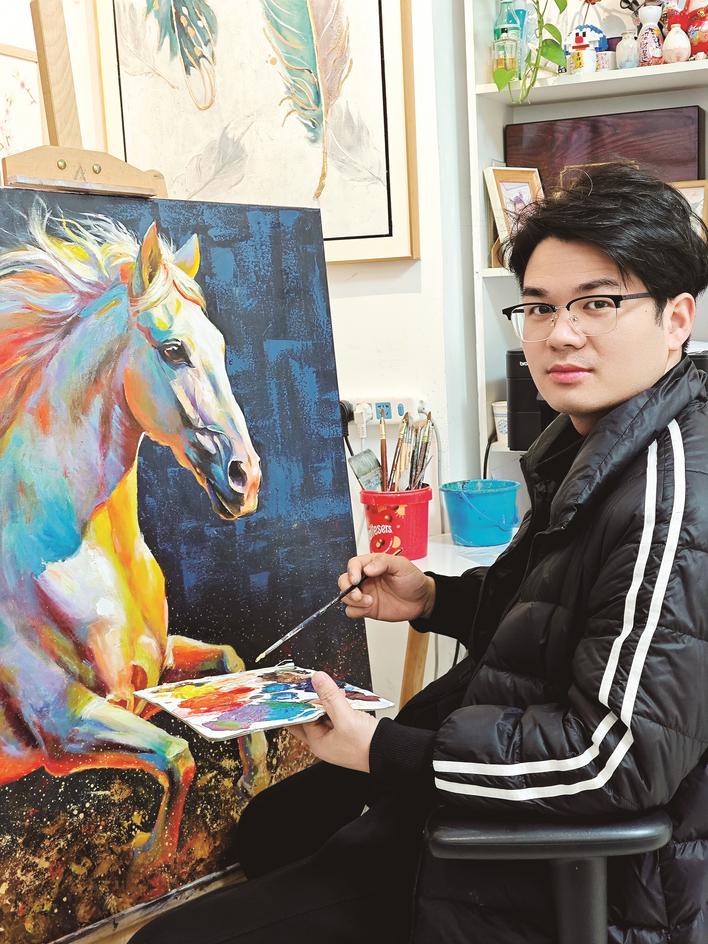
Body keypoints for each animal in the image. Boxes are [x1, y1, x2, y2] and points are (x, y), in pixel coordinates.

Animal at [0, 203, 269, 868]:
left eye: (221, 344)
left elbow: (230, 659)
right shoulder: (63, 725)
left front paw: (254, 772)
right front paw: (148, 858)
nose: (246, 478)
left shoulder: (158, 666)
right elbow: (177, 756)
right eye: (172, 349)